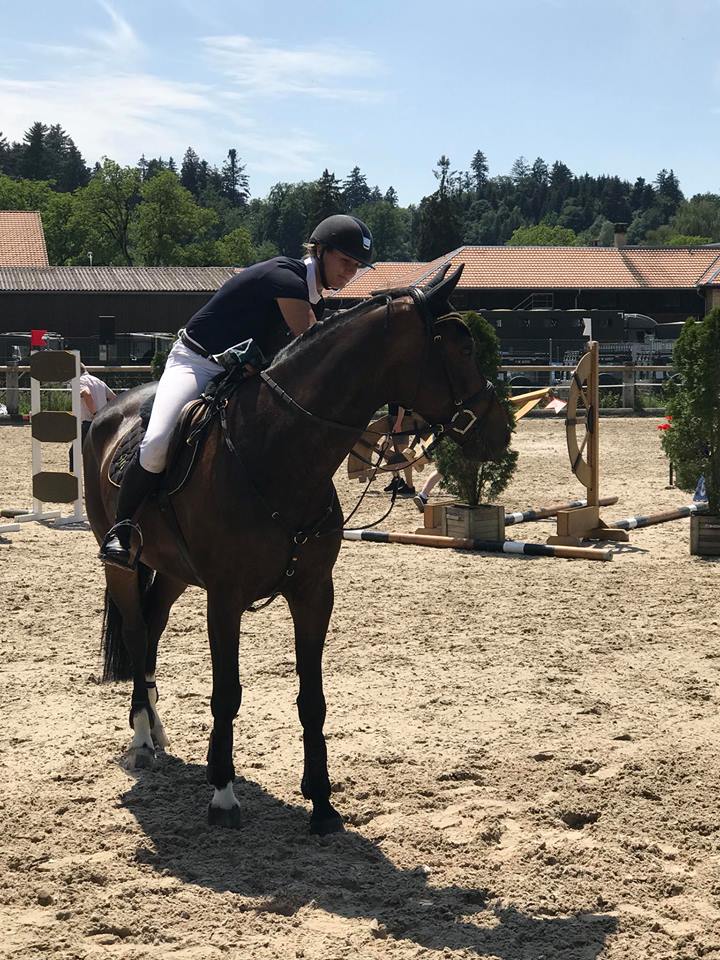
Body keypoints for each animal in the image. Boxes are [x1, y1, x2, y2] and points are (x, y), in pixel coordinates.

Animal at [84, 265, 512, 835]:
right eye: (461, 347)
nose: (499, 431)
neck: (279, 452)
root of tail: (109, 411)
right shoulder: (224, 599)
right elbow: (227, 694)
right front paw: (223, 794)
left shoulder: (312, 593)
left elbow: (313, 698)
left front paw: (322, 803)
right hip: (123, 564)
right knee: (135, 634)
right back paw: (140, 740)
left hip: (173, 572)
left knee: (152, 632)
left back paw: (156, 729)